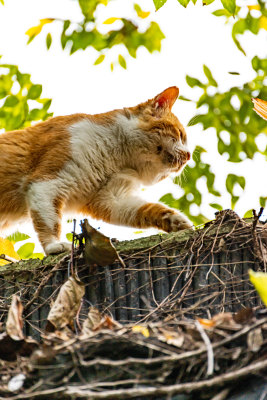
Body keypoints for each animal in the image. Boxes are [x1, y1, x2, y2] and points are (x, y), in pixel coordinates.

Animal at [0, 87, 193, 255]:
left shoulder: (110, 199)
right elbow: (49, 221)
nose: (189, 156)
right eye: (180, 135)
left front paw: (177, 221)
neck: (116, 160)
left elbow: (147, 209)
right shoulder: (47, 183)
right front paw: (54, 245)